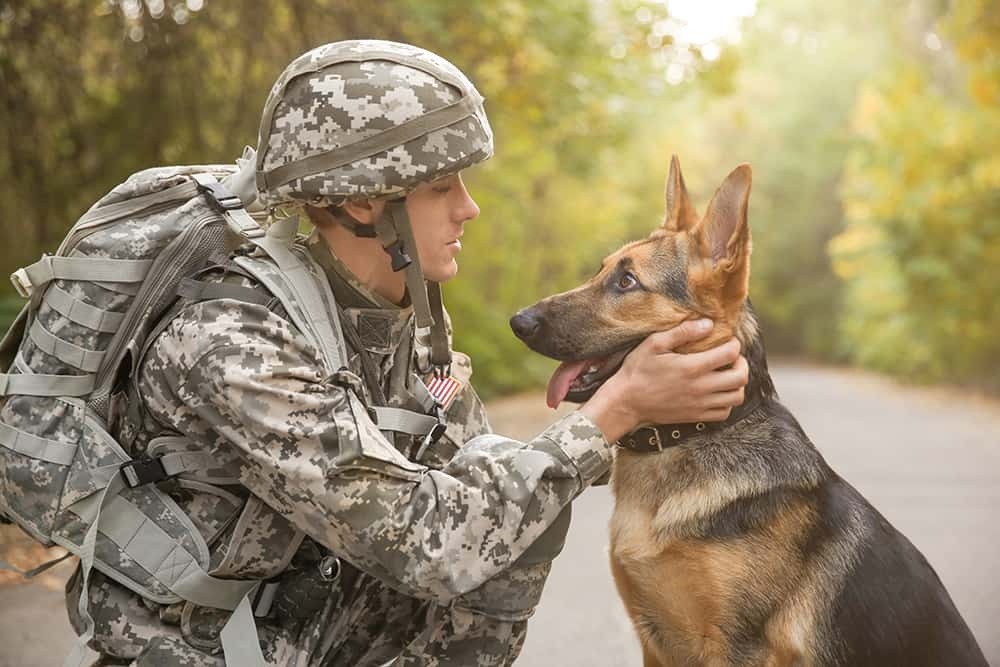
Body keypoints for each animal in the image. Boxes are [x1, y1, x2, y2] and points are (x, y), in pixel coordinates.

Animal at [508, 158, 984, 667]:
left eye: (627, 282)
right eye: (601, 271)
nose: (518, 322)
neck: (693, 433)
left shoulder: (737, 648)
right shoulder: (653, 644)